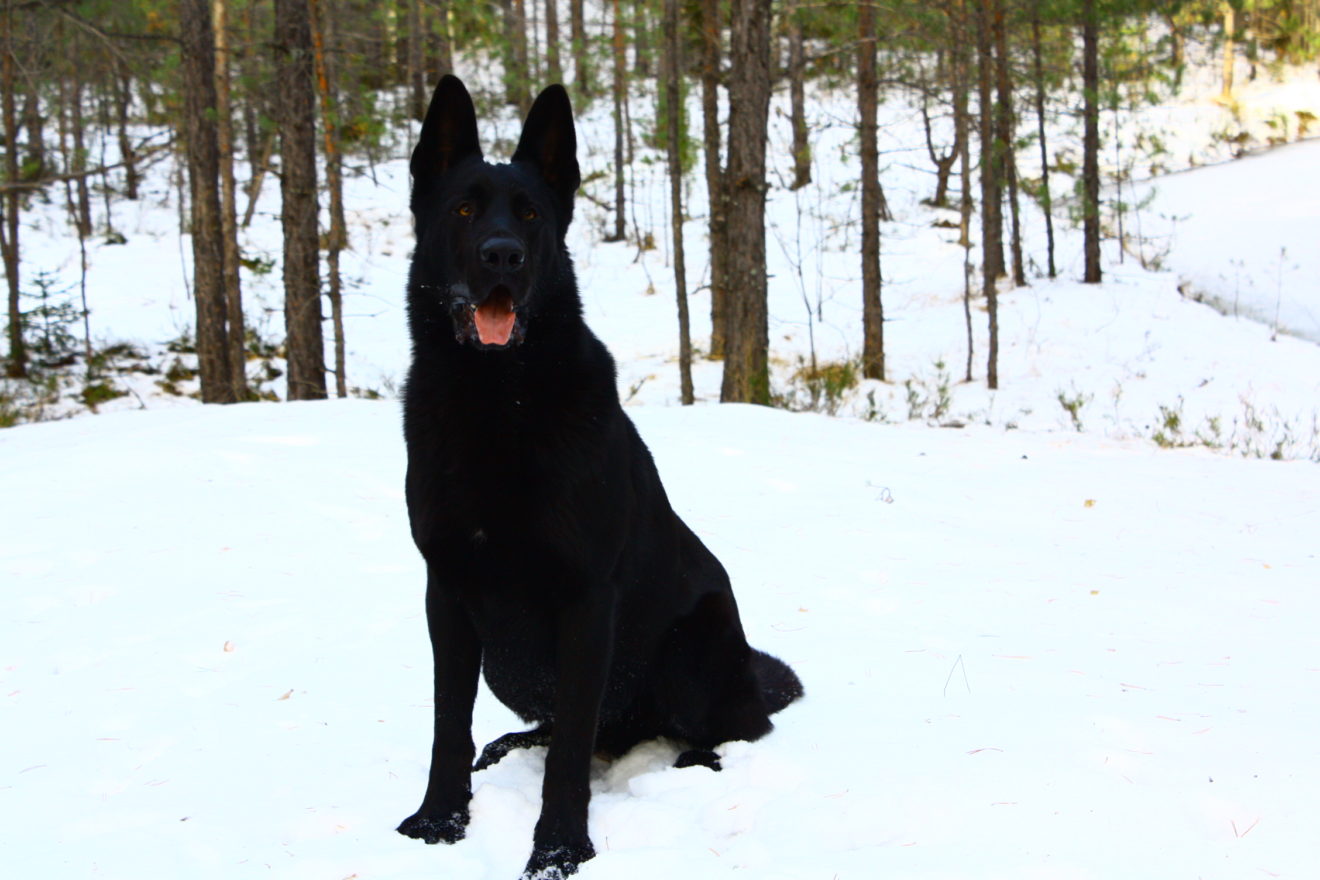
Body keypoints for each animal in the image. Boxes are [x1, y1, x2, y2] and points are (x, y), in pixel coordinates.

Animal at [395, 75, 803, 879]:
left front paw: (557, 849)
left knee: (732, 729)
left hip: (690, 649)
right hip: (509, 665)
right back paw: (510, 745)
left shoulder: (586, 602)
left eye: (529, 214)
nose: (502, 256)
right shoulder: (446, 593)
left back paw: (692, 761)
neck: (496, 405)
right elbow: (448, 725)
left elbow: (570, 757)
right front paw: (440, 819)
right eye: (463, 209)